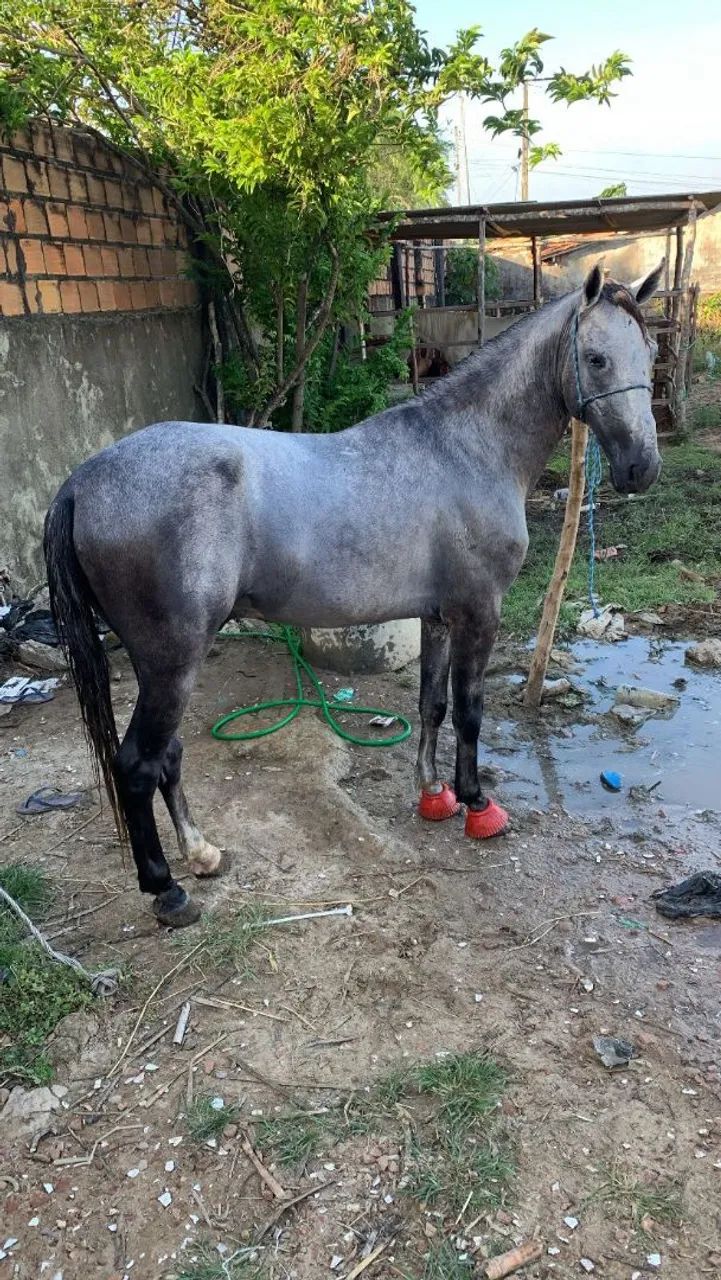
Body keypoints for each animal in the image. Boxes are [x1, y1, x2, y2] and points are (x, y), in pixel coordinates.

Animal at [44, 260, 664, 928]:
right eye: (596, 359)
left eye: (649, 354)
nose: (641, 468)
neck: (467, 448)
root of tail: (82, 481)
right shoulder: (480, 613)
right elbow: (470, 712)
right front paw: (477, 805)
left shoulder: (438, 617)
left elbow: (432, 705)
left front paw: (433, 793)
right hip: (172, 659)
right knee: (136, 764)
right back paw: (166, 889)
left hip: (161, 663)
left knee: (168, 755)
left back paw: (202, 853)